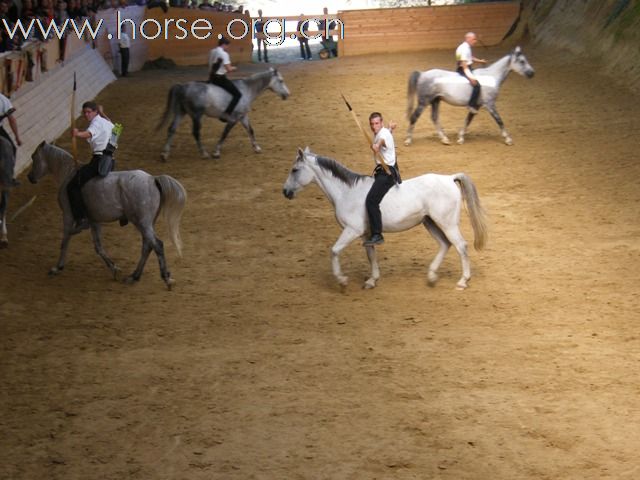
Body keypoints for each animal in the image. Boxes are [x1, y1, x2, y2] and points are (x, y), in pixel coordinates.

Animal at [28, 141, 186, 286]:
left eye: (34, 157)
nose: (30, 177)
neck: (68, 173)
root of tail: (153, 179)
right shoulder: (94, 221)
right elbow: (98, 247)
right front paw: (114, 268)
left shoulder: (67, 215)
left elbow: (65, 239)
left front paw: (57, 267)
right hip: (145, 223)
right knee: (147, 246)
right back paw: (134, 276)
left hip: (142, 223)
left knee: (157, 245)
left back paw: (165, 277)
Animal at [158, 66, 290, 160]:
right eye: (281, 81)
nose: (287, 94)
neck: (247, 89)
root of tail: (183, 87)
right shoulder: (234, 118)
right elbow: (225, 133)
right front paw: (216, 152)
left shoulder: (243, 116)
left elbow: (250, 130)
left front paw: (257, 148)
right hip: (196, 115)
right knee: (195, 133)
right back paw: (204, 154)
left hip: (181, 113)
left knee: (172, 129)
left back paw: (164, 154)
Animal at [282, 147, 488, 288]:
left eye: (294, 170)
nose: (285, 192)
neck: (346, 192)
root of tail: (449, 178)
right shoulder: (366, 234)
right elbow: (371, 255)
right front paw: (371, 280)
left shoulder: (352, 230)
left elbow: (334, 250)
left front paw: (342, 280)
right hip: (429, 222)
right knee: (445, 244)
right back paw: (431, 276)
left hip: (447, 223)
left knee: (461, 246)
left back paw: (462, 281)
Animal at [404, 47, 536, 147]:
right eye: (522, 61)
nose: (532, 73)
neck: (491, 77)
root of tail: (422, 74)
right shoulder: (490, 104)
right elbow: (499, 120)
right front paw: (508, 139)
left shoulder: (476, 105)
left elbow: (468, 120)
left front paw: (461, 138)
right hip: (424, 102)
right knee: (414, 117)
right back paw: (408, 140)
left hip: (435, 101)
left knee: (434, 118)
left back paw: (444, 139)